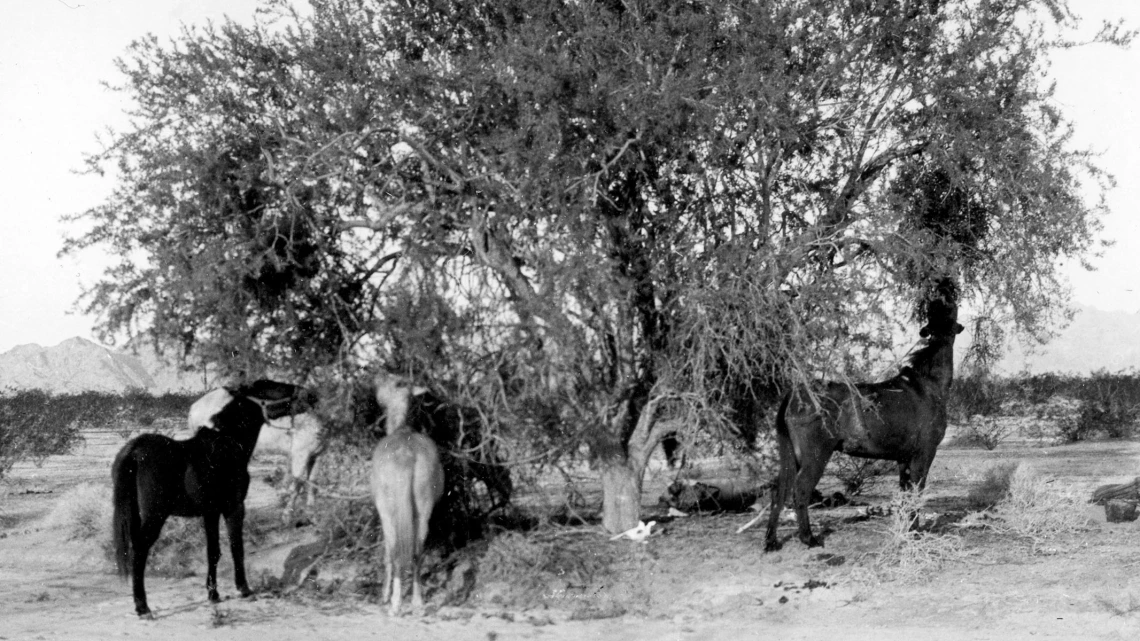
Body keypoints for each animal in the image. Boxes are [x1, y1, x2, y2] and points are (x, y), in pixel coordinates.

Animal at [111, 380, 271, 615]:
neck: (226, 446)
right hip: (155, 515)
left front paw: (213, 594)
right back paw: (142, 606)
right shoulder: (234, 507)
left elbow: (213, 551)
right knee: (140, 550)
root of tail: (135, 450)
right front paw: (244, 589)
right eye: (267, 388)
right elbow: (236, 547)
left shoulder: (210, 512)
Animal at [766, 291, 962, 547]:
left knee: (779, 491)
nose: (943, 294)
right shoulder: (924, 454)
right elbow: (916, 492)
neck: (928, 383)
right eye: (944, 311)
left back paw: (771, 541)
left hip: (791, 455)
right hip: (815, 457)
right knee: (800, 490)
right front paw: (915, 532)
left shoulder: (904, 459)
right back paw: (809, 538)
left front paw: (906, 530)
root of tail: (795, 393)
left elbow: (905, 494)